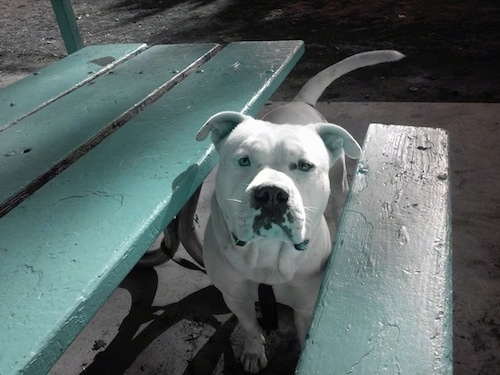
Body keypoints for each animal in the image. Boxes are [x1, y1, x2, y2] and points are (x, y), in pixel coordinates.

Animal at [195, 50, 402, 374]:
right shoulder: (236, 296)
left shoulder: (305, 306)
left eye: (304, 166)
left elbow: (305, 336)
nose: (271, 193)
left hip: (340, 184)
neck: (267, 256)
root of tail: (300, 102)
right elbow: (250, 325)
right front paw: (253, 350)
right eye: (244, 160)